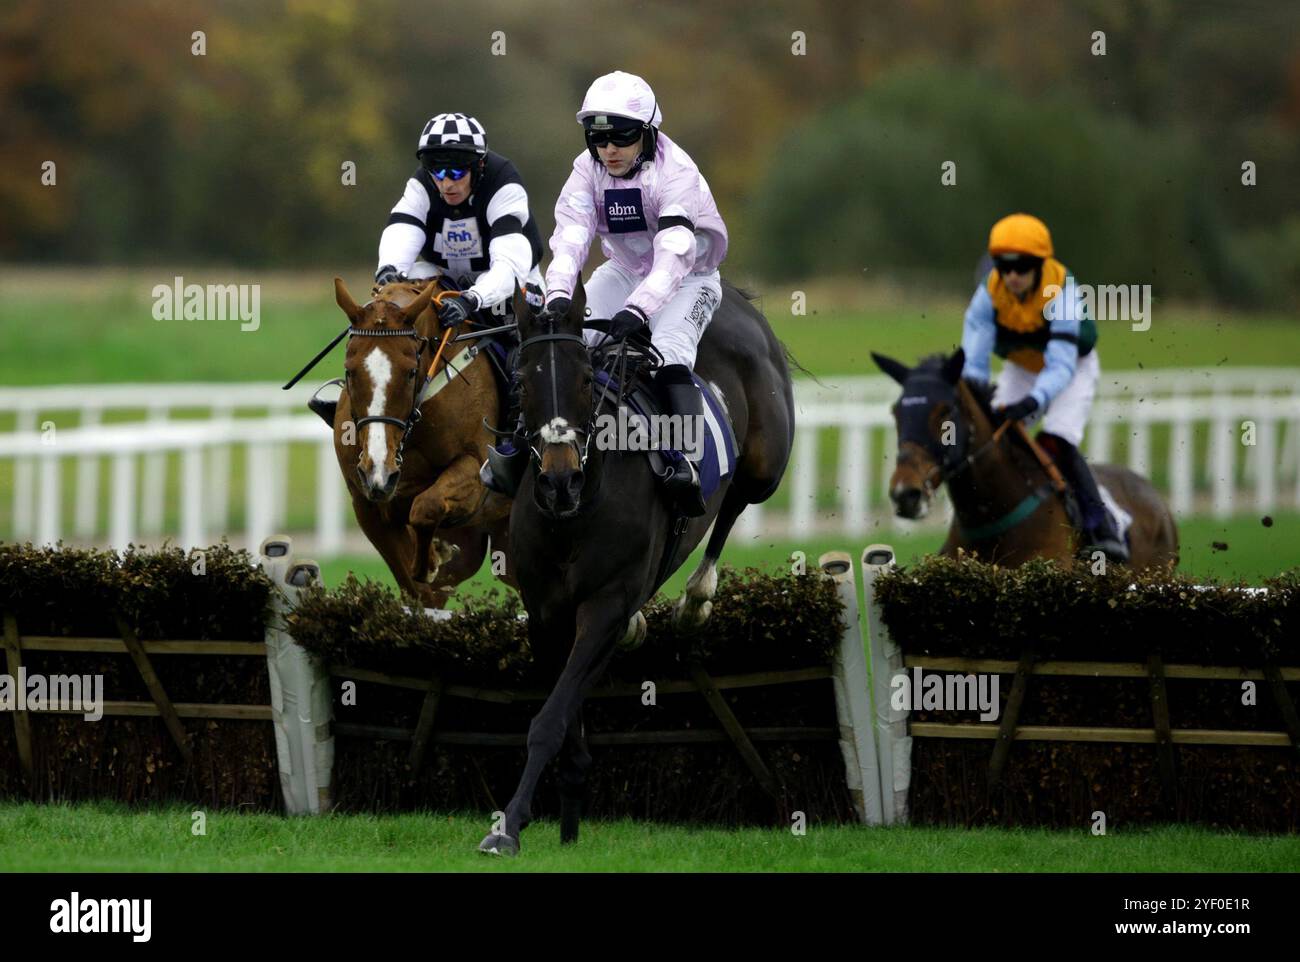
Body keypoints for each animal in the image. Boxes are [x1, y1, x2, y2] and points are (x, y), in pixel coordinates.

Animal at [322, 278, 514, 605]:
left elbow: (426, 506)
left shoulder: (477, 470)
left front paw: (433, 559)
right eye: (349, 370)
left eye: (411, 372)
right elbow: (414, 586)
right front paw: (434, 558)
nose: (378, 470)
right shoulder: (366, 504)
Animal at [483, 274, 795, 852]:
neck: (578, 510)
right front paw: (565, 805)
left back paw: (696, 598)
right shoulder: (546, 610)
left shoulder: (606, 602)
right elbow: (564, 707)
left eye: (586, 379)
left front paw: (509, 825)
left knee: (735, 500)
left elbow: (551, 718)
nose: (559, 482)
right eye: (523, 380)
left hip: (765, 465)